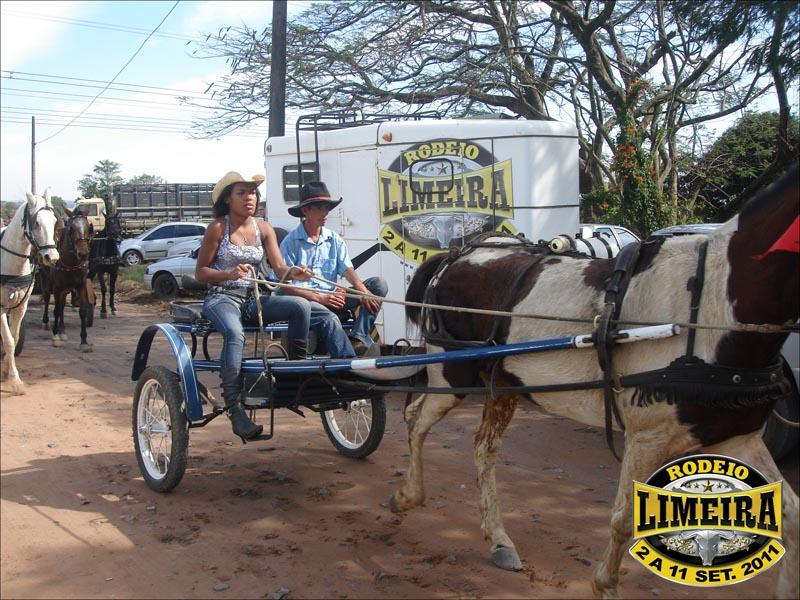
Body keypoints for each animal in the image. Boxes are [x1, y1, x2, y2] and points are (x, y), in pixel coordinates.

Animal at [0, 190, 60, 393]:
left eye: (54, 221)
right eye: (37, 223)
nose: (52, 257)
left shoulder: (21, 306)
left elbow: (14, 337)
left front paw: (7, 369)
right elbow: (9, 340)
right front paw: (15, 379)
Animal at [39, 210, 96, 352]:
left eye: (88, 228)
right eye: (72, 228)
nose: (83, 254)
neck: (71, 262)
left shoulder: (81, 284)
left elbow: (82, 311)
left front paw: (84, 341)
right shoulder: (57, 286)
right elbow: (56, 310)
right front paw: (55, 337)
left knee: (62, 304)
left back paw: (62, 330)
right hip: (45, 278)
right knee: (47, 298)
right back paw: (46, 322)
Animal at [390, 165, 799, 598]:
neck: (709, 304)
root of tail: (456, 255)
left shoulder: (735, 436)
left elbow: (790, 516)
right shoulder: (647, 437)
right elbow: (625, 517)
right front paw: (605, 585)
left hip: (502, 383)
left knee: (483, 446)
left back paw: (499, 539)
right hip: (451, 375)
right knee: (416, 419)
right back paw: (408, 495)